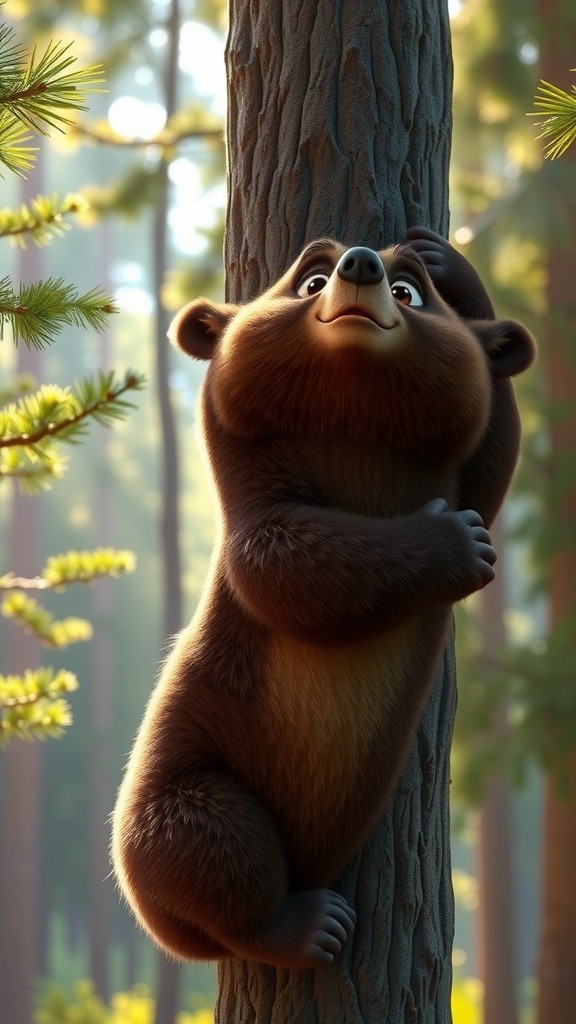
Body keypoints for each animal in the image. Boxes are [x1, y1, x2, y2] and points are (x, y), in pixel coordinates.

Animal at [112, 230, 535, 970]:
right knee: (214, 849)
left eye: (410, 290)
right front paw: (453, 545)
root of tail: (164, 934)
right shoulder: (256, 496)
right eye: (309, 279)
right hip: (188, 782)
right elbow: (276, 560)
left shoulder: (454, 469)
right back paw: (307, 925)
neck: (350, 426)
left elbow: (493, 456)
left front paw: (454, 262)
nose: (359, 263)